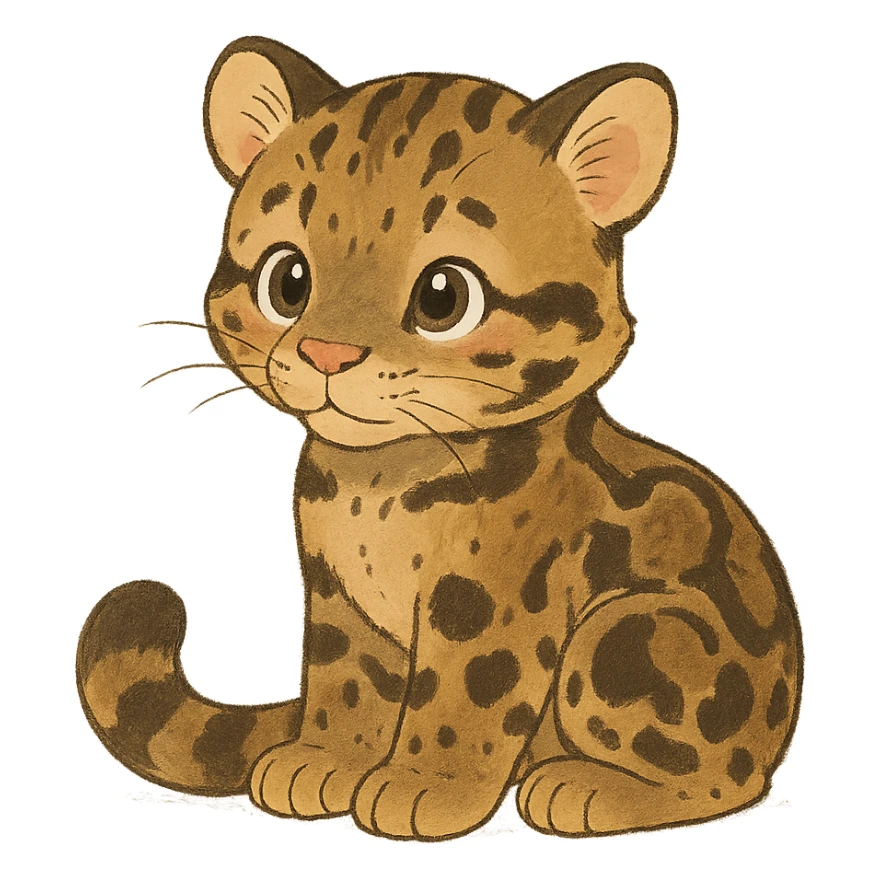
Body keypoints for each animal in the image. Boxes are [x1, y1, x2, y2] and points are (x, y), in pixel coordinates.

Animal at [77, 36, 801, 840]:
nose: (328, 354)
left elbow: (464, 697)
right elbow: (345, 680)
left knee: (725, 780)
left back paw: (584, 785)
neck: (379, 482)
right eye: (287, 280)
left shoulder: (486, 607)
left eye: (443, 296)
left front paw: (424, 783)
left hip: (627, 633)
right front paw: (326, 759)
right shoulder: (339, 598)